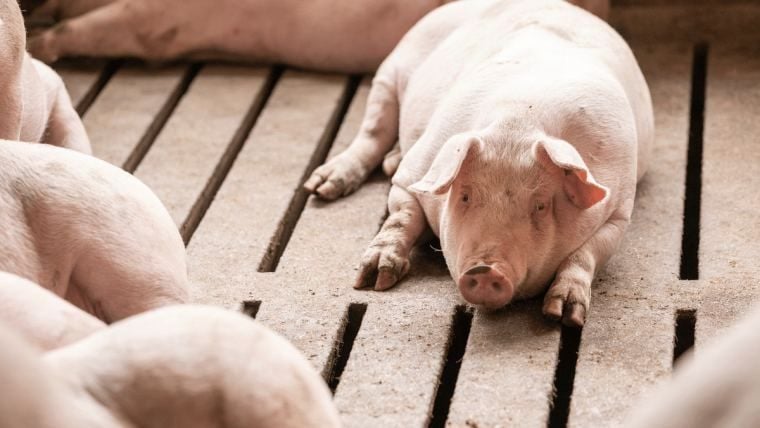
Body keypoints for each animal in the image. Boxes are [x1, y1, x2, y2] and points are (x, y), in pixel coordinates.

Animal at [305, 0, 653, 327]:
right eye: (465, 196)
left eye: (540, 206)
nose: (486, 270)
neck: (518, 124)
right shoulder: (415, 172)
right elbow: (401, 216)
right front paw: (373, 281)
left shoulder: (619, 210)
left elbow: (585, 255)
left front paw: (562, 316)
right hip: (391, 70)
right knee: (374, 130)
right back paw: (321, 187)